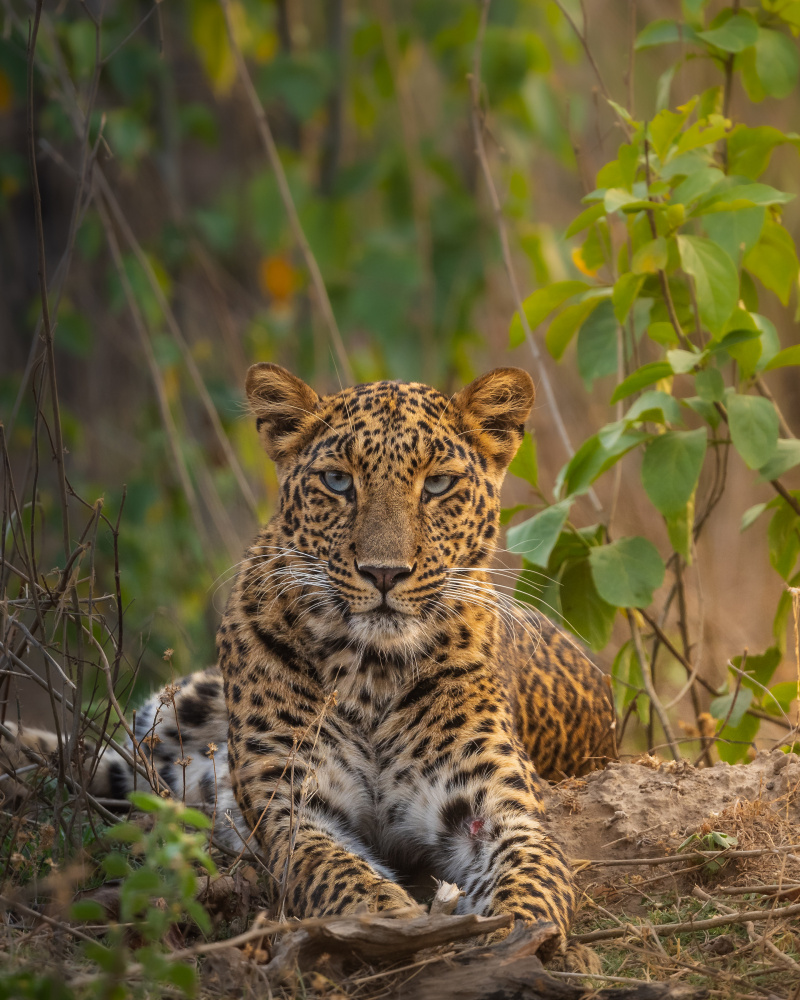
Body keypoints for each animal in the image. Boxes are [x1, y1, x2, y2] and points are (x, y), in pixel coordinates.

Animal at [1, 364, 616, 957]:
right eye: (338, 481)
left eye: (438, 483)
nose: (384, 573)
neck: (373, 671)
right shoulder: (294, 806)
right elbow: (340, 875)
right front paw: (394, 925)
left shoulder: (497, 805)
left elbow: (532, 877)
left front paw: (523, 940)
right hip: (169, 715)